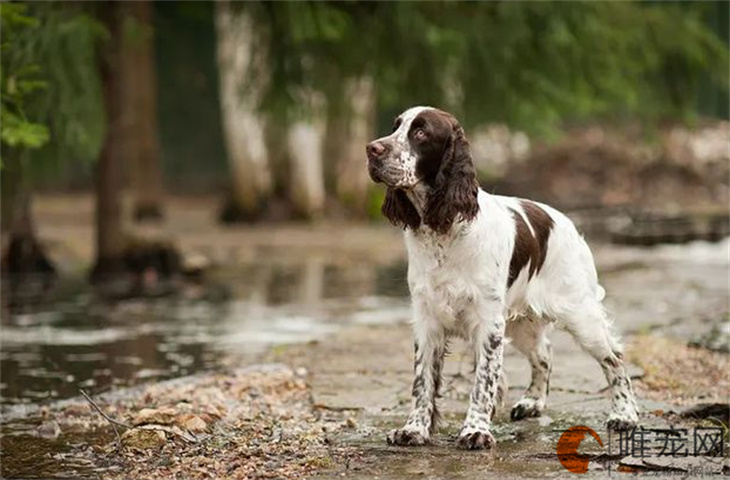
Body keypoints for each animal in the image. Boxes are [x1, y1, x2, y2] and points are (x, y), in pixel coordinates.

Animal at [364, 105, 636, 450]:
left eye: (421, 132)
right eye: (395, 127)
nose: (372, 149)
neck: (444, 231)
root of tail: (567, 222)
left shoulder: (487, 320)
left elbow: (483, 381)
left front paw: (475, 430)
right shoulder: (427, 319)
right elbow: (422, 381)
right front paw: (414, 429)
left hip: (580, 315)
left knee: (614, 358)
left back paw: (625, 415)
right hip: (522, 323)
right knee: (544, 354)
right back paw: (532, 402)